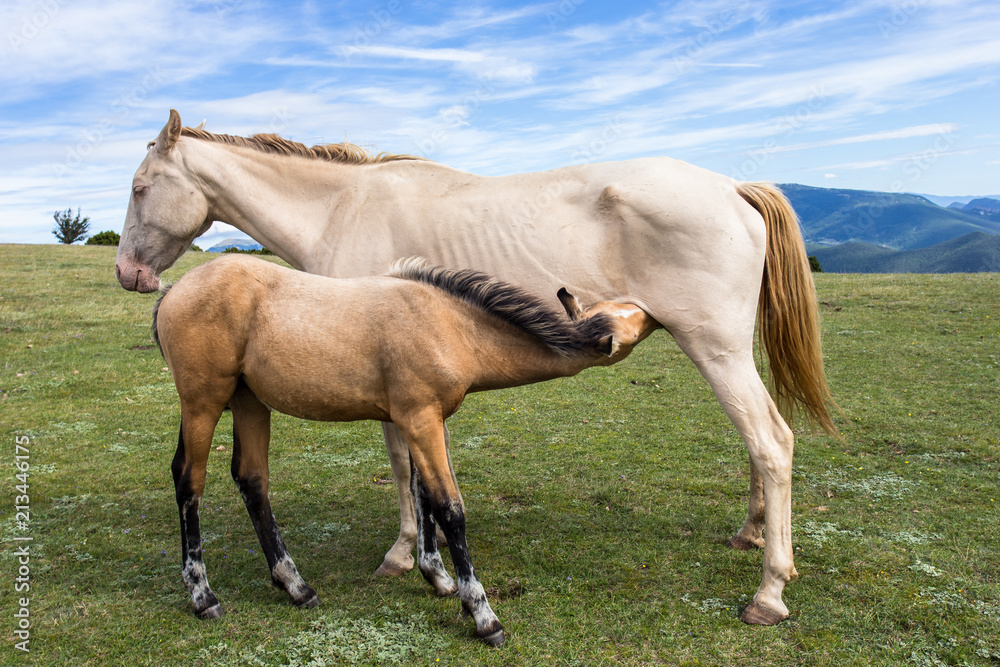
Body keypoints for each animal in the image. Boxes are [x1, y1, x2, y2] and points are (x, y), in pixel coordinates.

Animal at [152, 253, 658, 646]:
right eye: (629, 317)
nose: (654, 310)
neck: (447, 323)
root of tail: (174, 291)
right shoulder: (420, 421)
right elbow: (450, 507)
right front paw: (482, 614)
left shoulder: (419, 423)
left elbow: (422, 497)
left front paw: (438, 578)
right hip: (202, 402)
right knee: (189, 480)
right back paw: (203, 596)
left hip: (249, 402)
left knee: (252, 480)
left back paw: (296, 586)